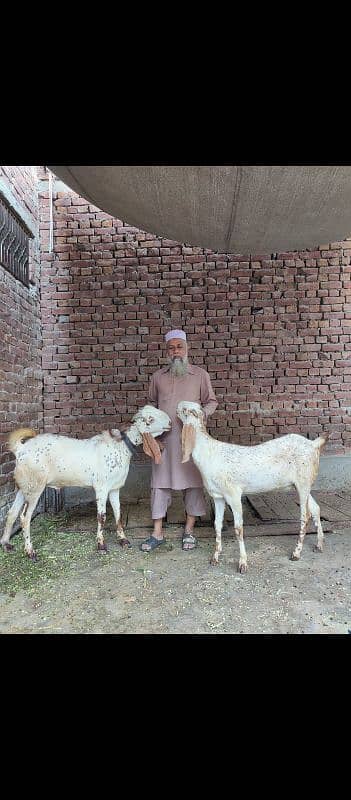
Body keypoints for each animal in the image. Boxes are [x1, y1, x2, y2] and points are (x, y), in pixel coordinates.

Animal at [1, 404, 172, 560]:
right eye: (150, 419)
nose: (170, 423)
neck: (120, 446)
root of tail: (20, 450)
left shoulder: (115, 488)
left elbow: (118, 513)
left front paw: (123, 540)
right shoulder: (101, 487)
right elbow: (102, 516)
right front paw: (101, 545)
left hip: (24, 487)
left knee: (12, 513)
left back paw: (6, 544)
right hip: (35, 487)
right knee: (24, 517)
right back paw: (30, 552)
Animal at [179, 404, 330, 572]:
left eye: (185, 410)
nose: (177, 406)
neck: (209, 454)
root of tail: (313, 444)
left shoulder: (233, 495)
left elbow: (238, 529)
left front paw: (243, 563)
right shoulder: (218, 497)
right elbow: (217, 525)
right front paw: (215, 557)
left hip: (303, 483)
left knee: (306, 515)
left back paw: (296, 553)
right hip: (301, 485)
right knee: (316, 509)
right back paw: (319, 545)